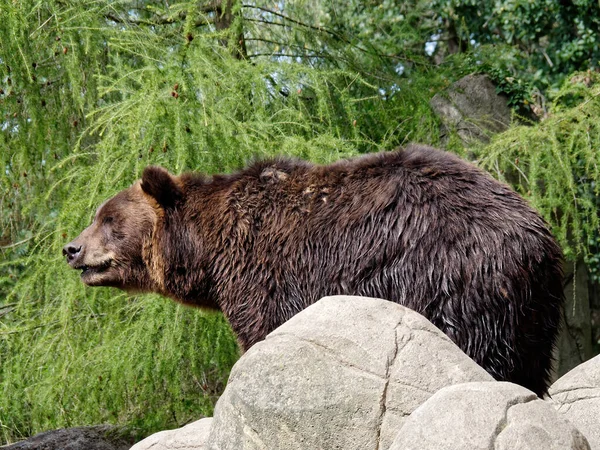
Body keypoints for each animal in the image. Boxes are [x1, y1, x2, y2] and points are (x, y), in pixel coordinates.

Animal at [64, 144, 564, 394]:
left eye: (109, 220)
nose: (71, 248)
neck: (210, 251)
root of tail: (538, 233)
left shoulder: (264, 276)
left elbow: (263, 332)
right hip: (533, 310)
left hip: (458, 278)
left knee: (479, 354)